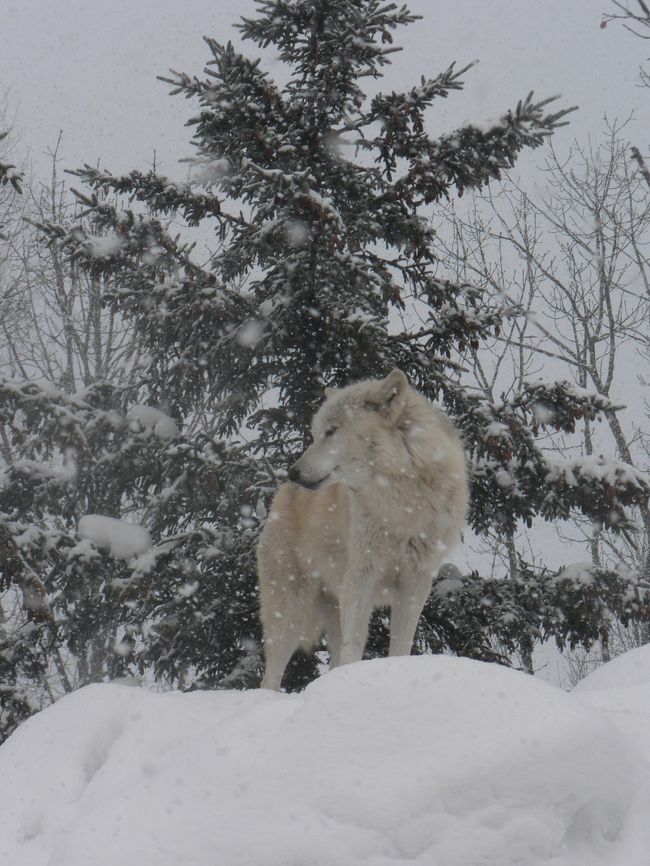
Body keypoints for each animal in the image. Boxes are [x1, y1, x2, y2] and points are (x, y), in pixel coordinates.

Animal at [256, 370, 466, 688]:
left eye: (331, 431)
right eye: (316, 433)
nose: (293, 472)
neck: (402, 501)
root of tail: (280, 496)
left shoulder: (416, 580)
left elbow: (401, 644)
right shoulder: (361, 574)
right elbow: (355, 644)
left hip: (332, 604)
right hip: (290, 611)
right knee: (270, 676)